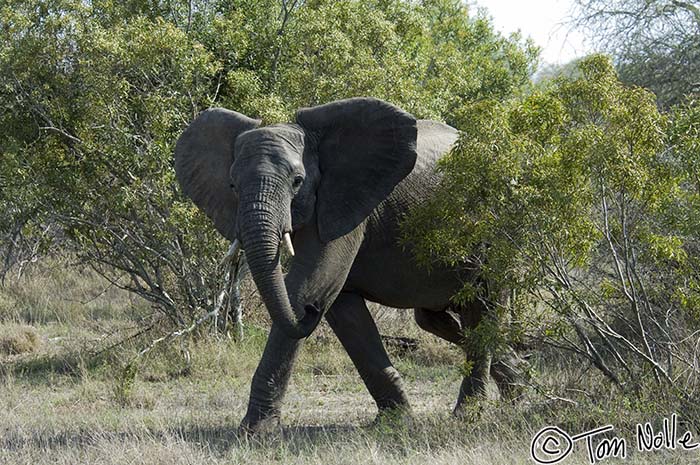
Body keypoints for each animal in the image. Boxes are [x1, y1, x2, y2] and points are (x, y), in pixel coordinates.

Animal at [176, 97, 524, 432]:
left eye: (297, 181)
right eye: (232, 186)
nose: (310, 314)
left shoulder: (345, 202)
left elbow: (310, 286)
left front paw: (255, 432)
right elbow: (343, 307)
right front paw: (396, 421)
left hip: (498, 228)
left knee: (484, 306)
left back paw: (469, 415)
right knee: (434, 319)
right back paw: (518, 392)